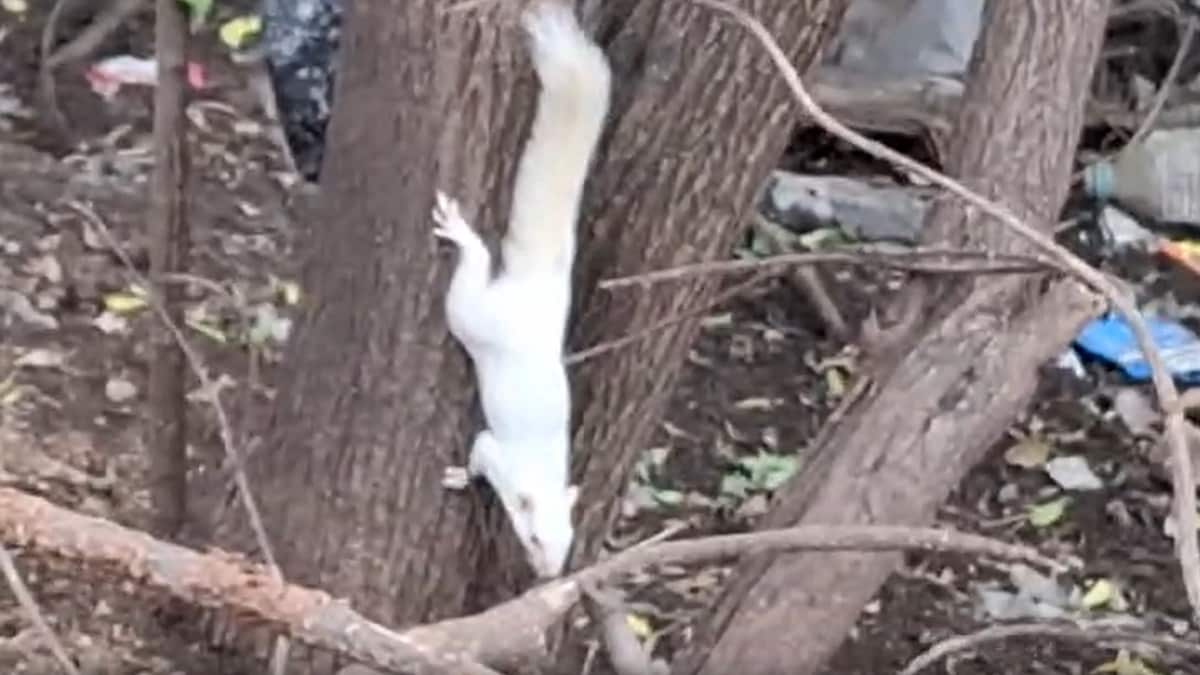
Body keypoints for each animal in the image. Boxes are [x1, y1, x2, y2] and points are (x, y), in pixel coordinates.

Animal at [432, 2, 612, 578]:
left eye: (569, 540)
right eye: (531, 537)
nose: (548, 574)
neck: (543, 477)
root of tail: (535, 287)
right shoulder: (498, 453)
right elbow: (478, 457)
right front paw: (459, 478)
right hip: (472, 315)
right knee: (471, 278)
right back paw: (462, 235)